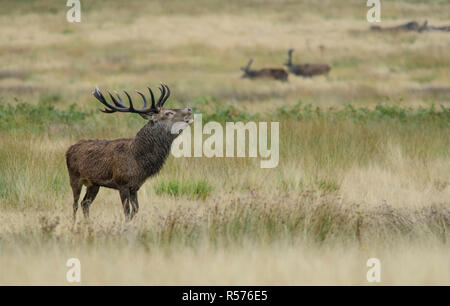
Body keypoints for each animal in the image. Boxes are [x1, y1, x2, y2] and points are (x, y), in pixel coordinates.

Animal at [66, 84, 192, 222]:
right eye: (168, 113)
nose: (189, 109)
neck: (139, 160)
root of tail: (69, 150)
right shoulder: (122, 183)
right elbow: (126, 211)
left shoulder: (135, 186)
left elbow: (135, 209)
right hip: (74, 177)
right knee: (75, 204)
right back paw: (74, 222)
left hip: (94, 184)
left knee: (85, 203)